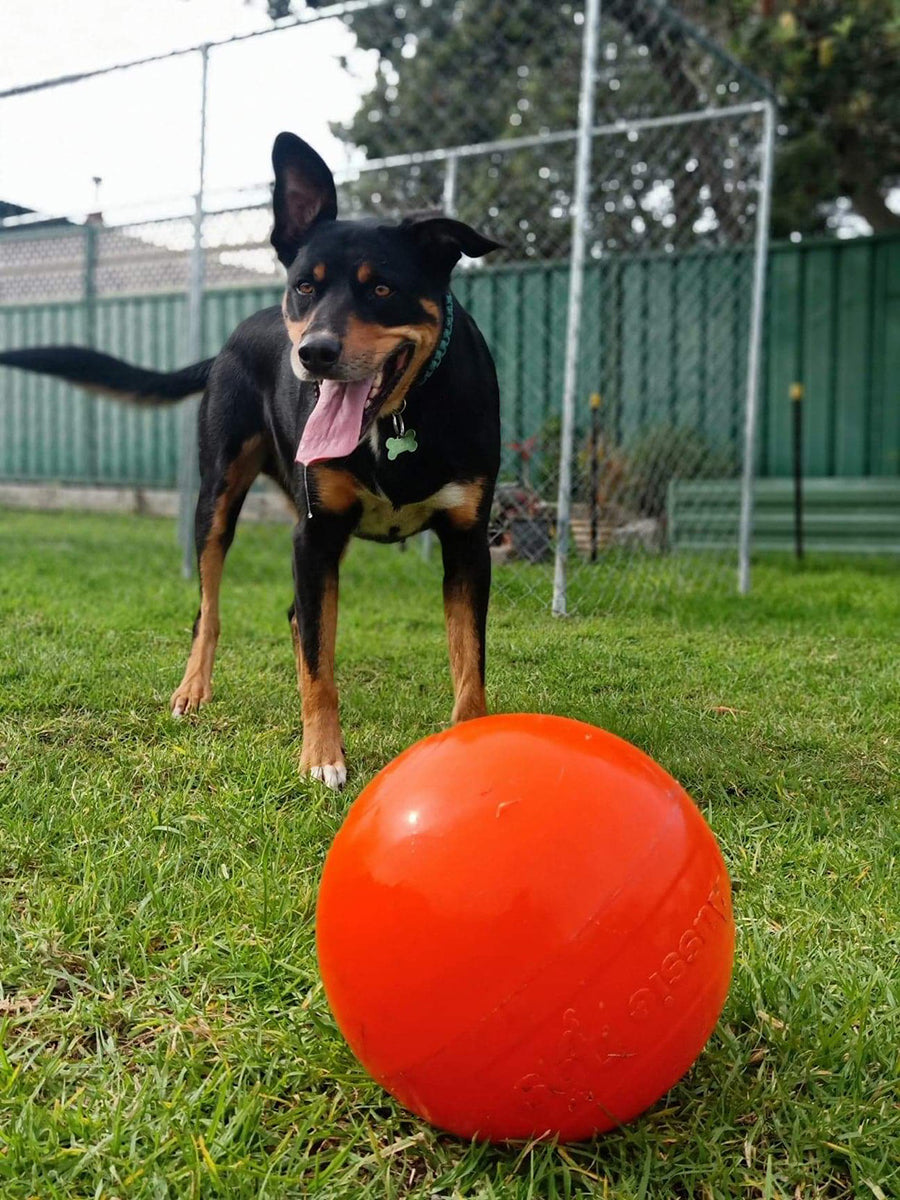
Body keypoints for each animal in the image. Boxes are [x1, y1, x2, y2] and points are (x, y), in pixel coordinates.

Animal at [0, 133, 501, 787]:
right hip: (217, 498)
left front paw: (470, 746)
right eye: (306, 286)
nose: (314, 354)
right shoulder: (314, 535)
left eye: (382, 289)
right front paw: (322, 756)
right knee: (210, 609)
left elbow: (468, 665)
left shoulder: (466, 542)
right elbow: (319, 661)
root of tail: (227, 344)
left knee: (296, 618)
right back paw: (193, 689)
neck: (397, 417)